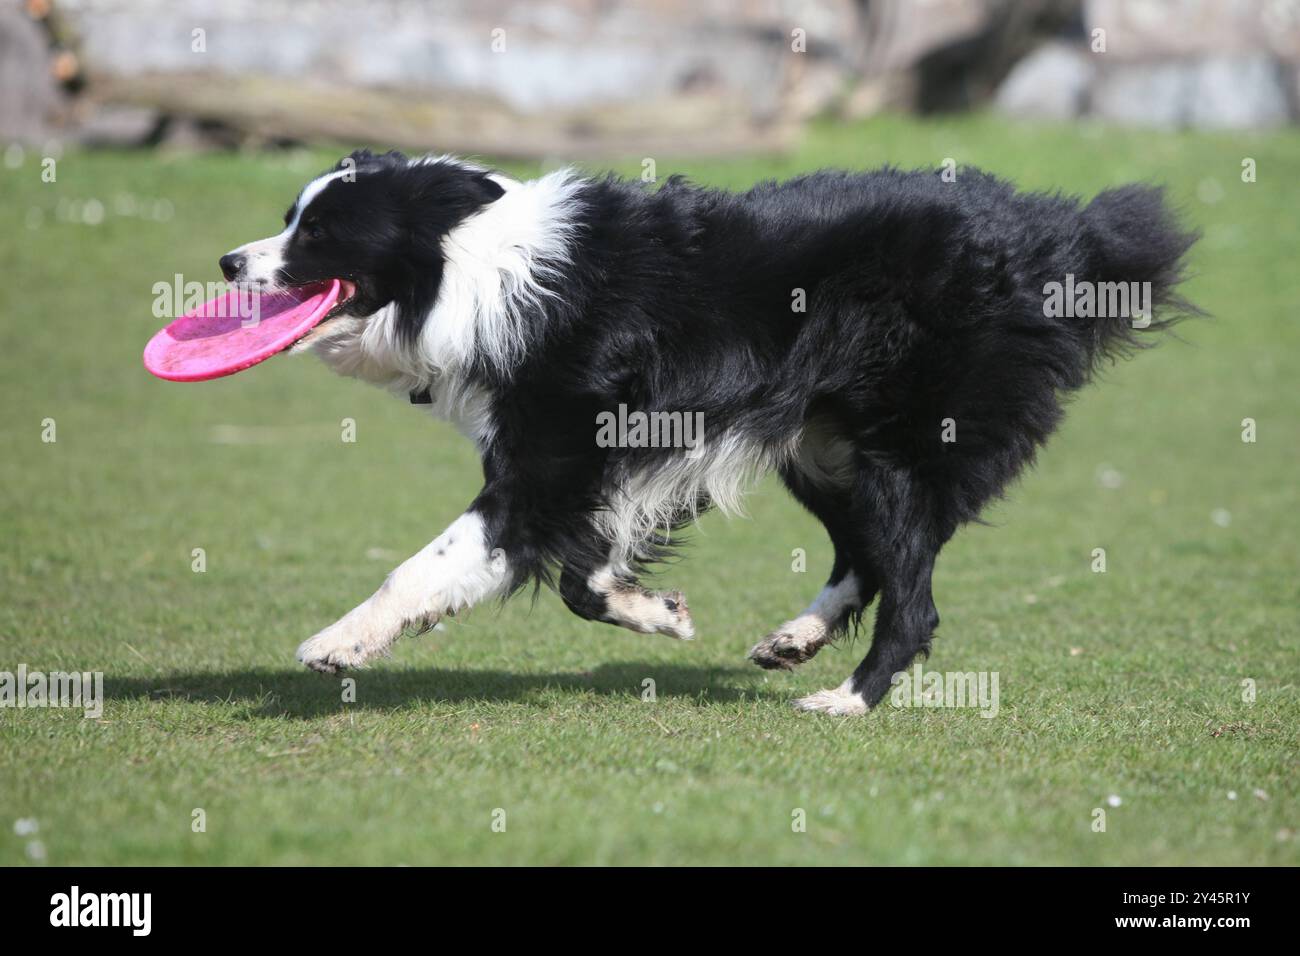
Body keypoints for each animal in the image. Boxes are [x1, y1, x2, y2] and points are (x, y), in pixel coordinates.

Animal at [215, 149, 1196, 712]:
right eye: (291, 216)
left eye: (320, 231)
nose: (227, 261)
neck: (473, 272)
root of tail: (1060, 237)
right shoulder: (621, 460)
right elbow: (581, 579)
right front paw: (659, 613)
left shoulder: (553, 461)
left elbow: (441, 560)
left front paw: (338, 642)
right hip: (822, 442)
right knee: (868, 554)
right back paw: (796, 638)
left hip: (899, 439)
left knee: (912, 596)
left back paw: (846, 701)